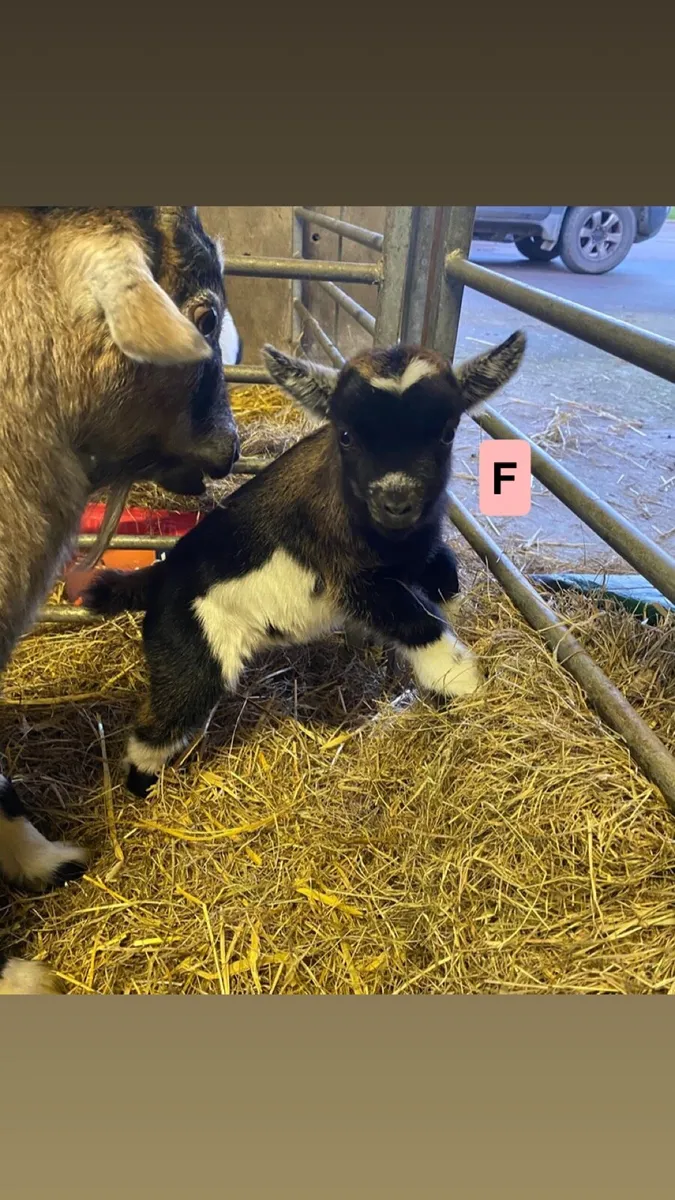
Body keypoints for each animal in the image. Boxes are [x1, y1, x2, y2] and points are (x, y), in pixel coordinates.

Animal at [83, 332, 526, 806]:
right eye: (346, 435)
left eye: (446, 432)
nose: (396, 503)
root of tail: (160, 576)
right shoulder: (352, 580)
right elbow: (416, 621)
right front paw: (463, 680)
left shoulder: (419, 553)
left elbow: (445, 573)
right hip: (188, 655)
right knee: (160, 724)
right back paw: (141, 787)